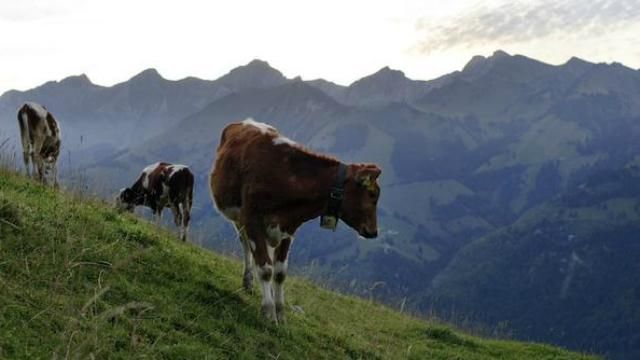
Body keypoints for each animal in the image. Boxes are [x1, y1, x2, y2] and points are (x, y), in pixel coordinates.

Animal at [209, 119, 380, 324]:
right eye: (372, 195)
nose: (374, 231)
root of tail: (246, 121)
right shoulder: (251, 219)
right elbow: (265, 268)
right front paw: (268, 312)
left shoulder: (288, 228)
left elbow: (280, 272)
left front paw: (280, 312)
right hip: (238, 217)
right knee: (245, 246)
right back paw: (249, 280)